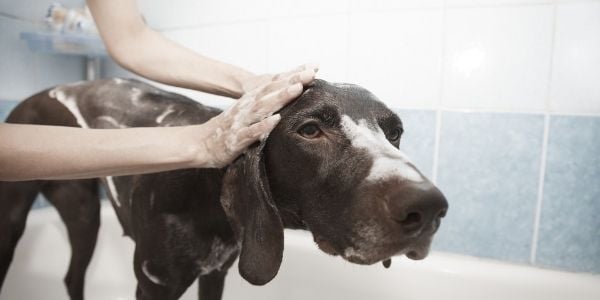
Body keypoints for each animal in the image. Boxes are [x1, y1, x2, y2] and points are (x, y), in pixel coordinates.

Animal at [0, 78, 448, 298]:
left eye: (395, 133)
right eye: (309, 130)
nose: (428, 208)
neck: (206, 197)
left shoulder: (216, 274)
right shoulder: (154, 286)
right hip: (28, 220)